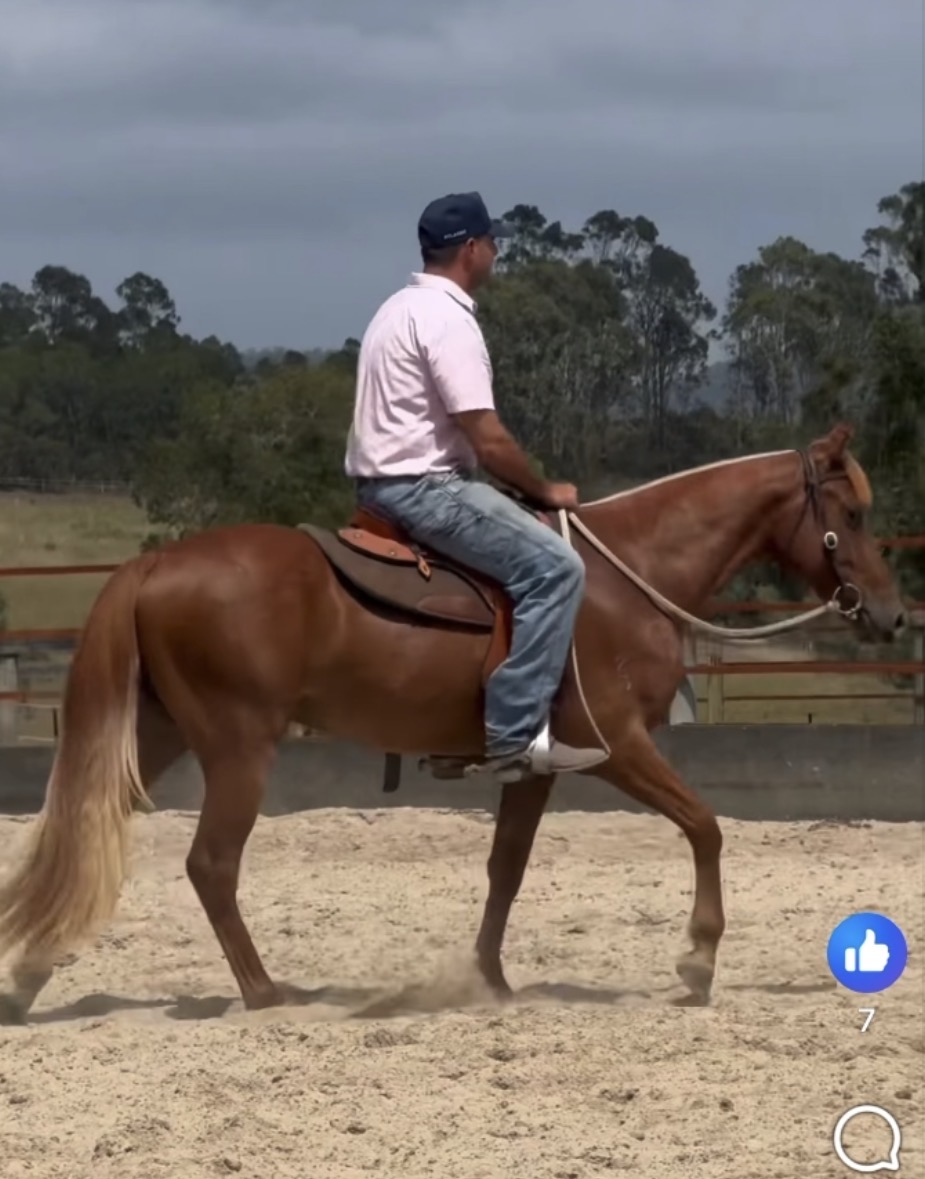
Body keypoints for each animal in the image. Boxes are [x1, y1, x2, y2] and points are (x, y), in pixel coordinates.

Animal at [0, 422, 907, 1023]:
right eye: (854, 514)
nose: (892, 614)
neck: (627, 576)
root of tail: (155, 562)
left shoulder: (538, 764)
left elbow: (504, 868)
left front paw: (490, 981)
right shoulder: (616, 744)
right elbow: (706, 825)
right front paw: (696, 959)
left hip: (156, 733)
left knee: (86, 829)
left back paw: (31, 971)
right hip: (238, 745)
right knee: (211, 863)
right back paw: (263, 992)